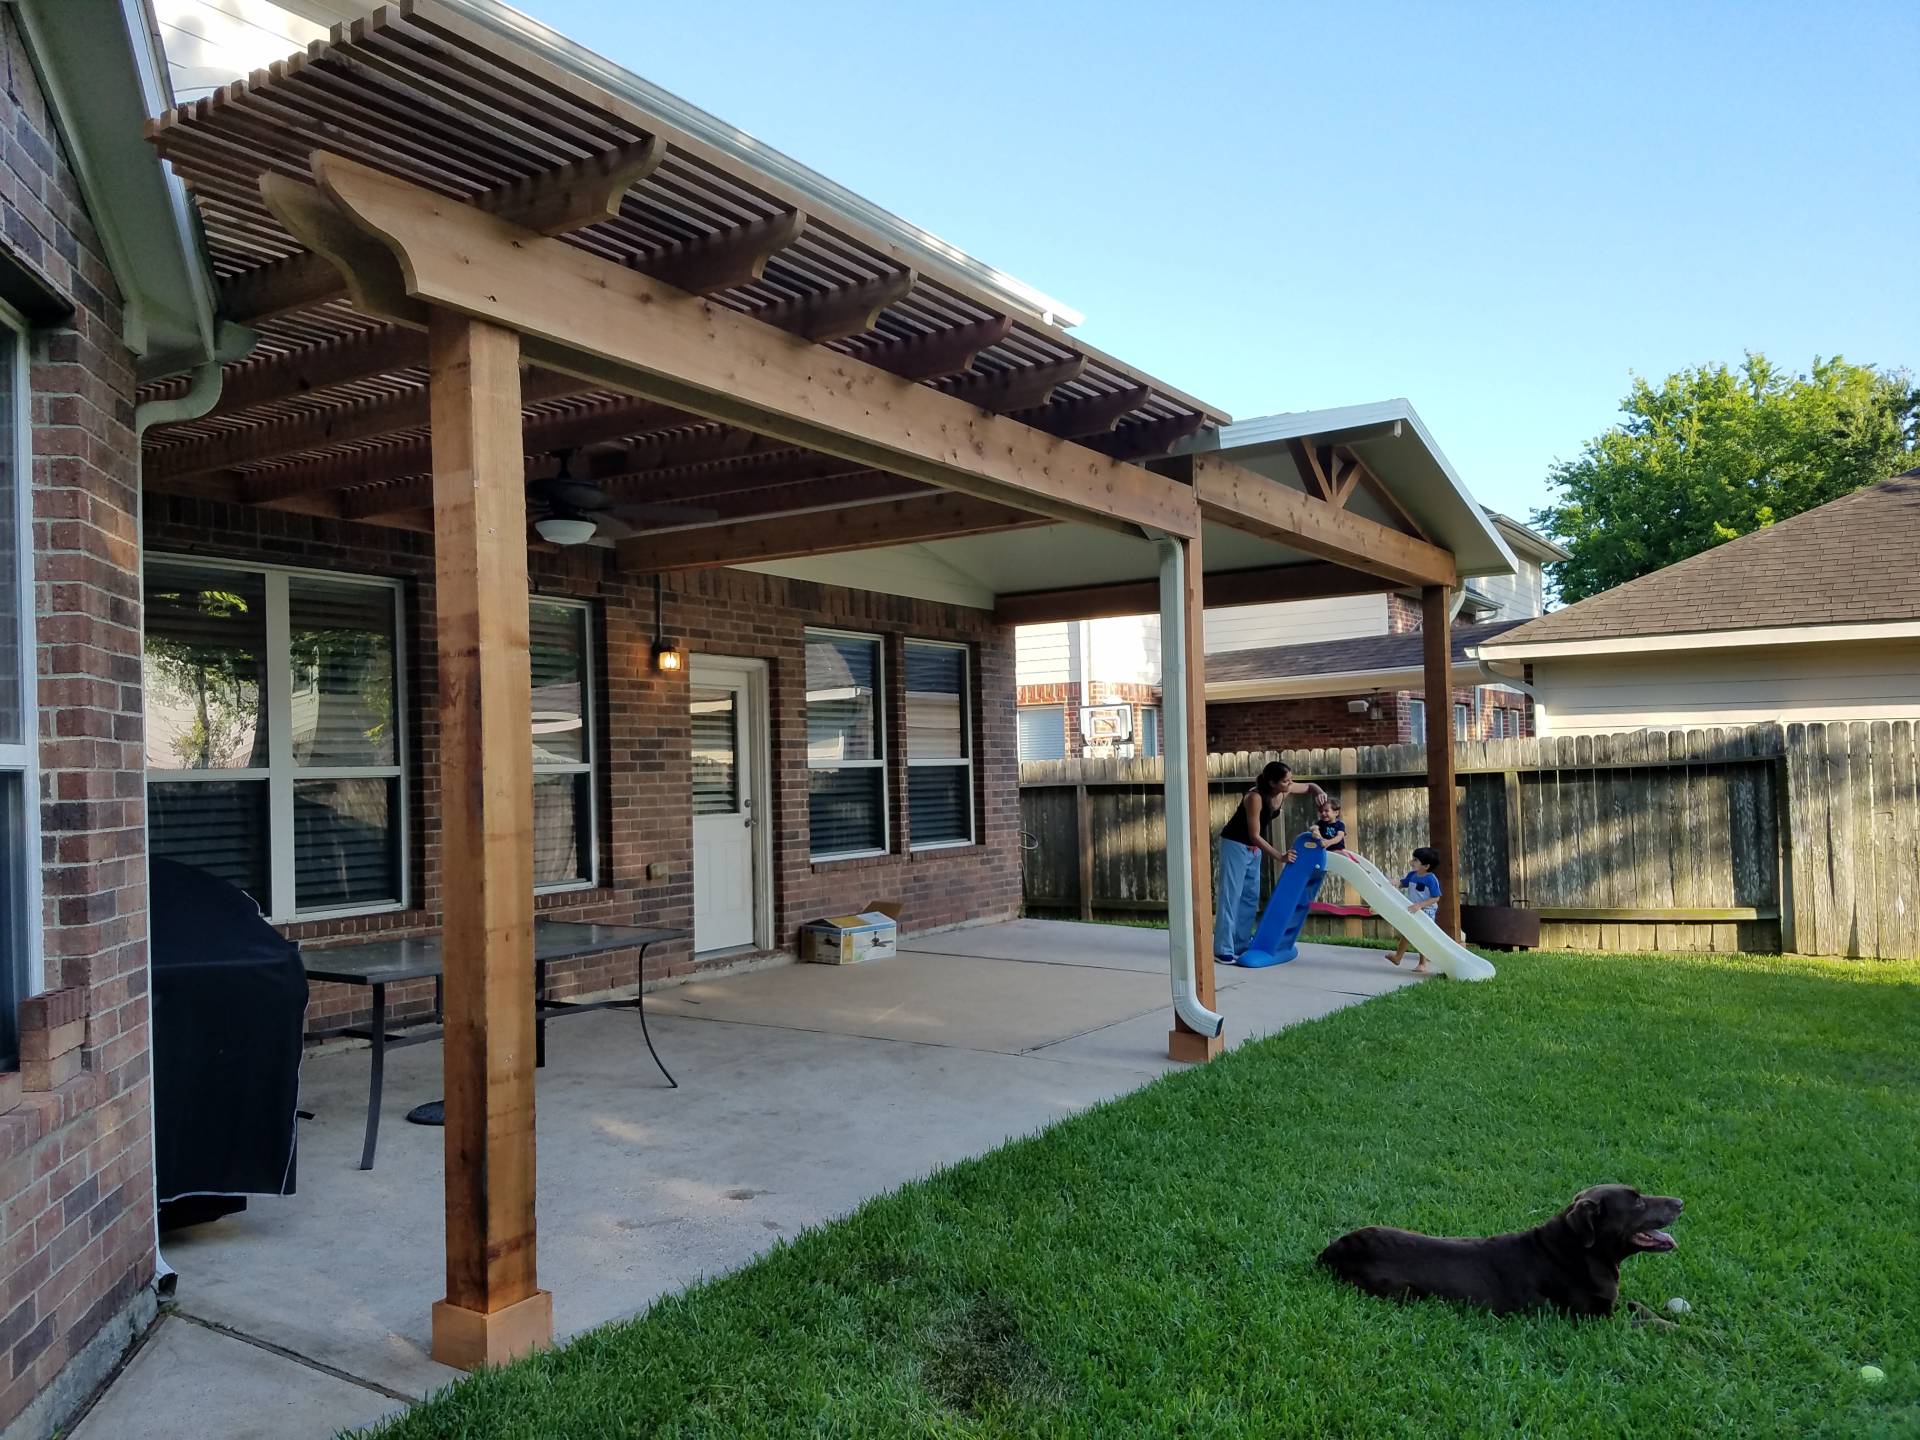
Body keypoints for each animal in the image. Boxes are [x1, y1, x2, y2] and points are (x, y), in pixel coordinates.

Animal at [1320, 1182, 1681, 1320]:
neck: (1579, 1252)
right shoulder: (1593, 1318)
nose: (1680, 1202)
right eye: (1637, 1201)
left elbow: (1641, 1308)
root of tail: (1332, 1250)